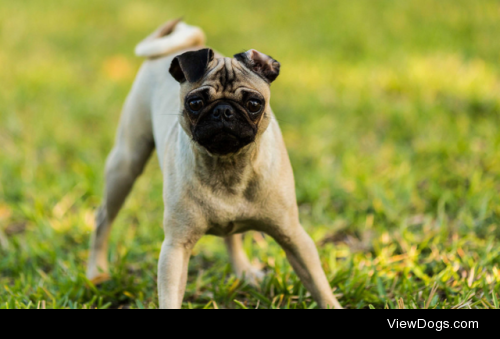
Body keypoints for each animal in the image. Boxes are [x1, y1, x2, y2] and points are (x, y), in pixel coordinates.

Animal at [88, 19, 342, 310]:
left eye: (254, 104)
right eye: (195, 103)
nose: (223, 111)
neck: (227, 166)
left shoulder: (294, 237)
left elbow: (319, 285)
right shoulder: (176, 248)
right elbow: (170, 295)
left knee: (232, 238)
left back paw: (244, 272)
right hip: (126, 163)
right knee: (103, 219)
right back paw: (96, 273)